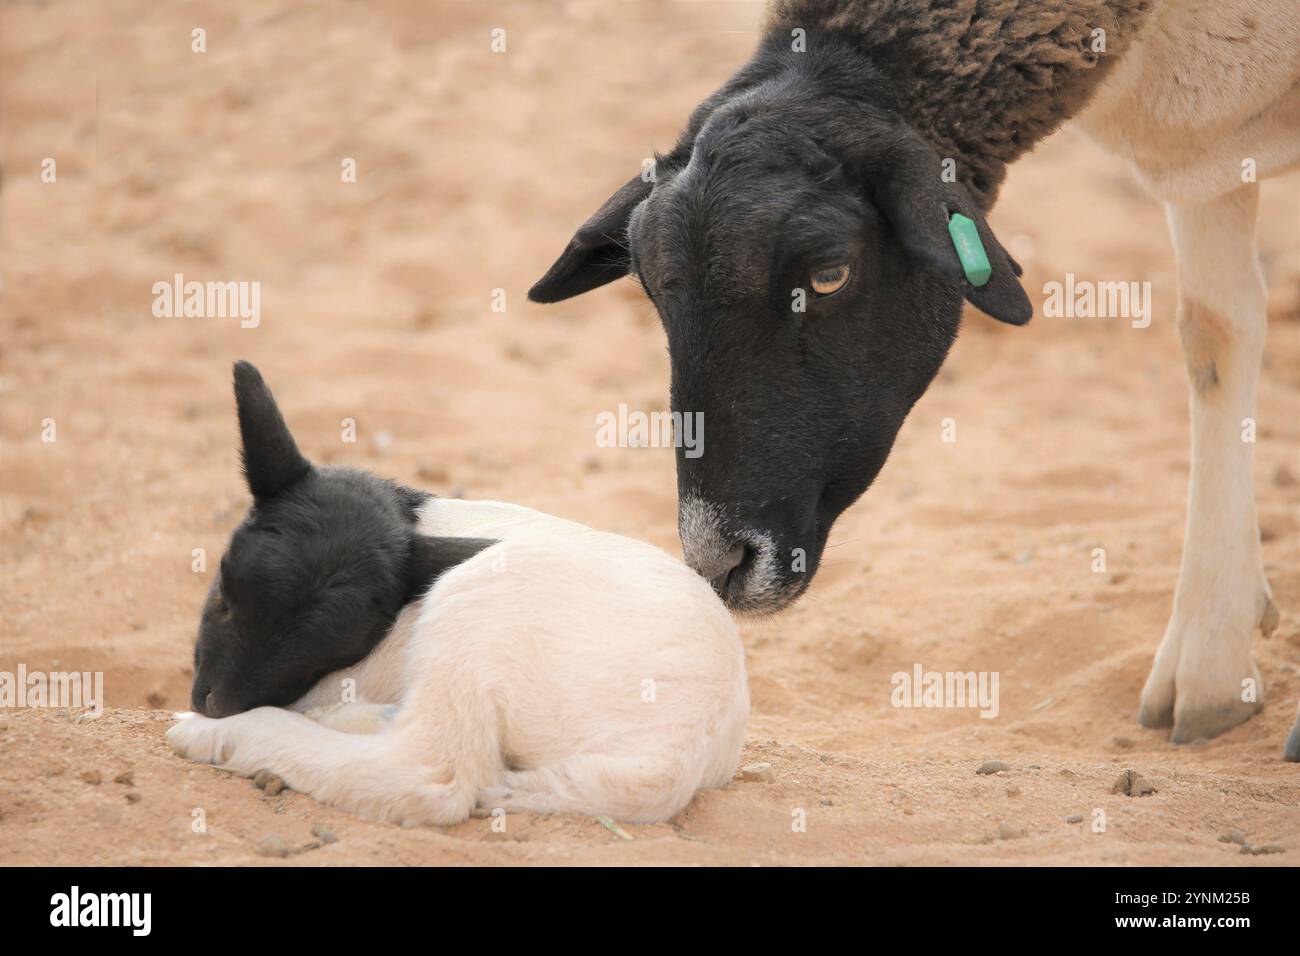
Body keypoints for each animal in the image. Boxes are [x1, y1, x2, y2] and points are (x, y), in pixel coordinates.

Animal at [167, 361, 748, 827]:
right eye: (223, 596)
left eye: (325, 654)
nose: (213, 704)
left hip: (473, 607)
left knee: (427, 775)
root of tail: (674, 756)